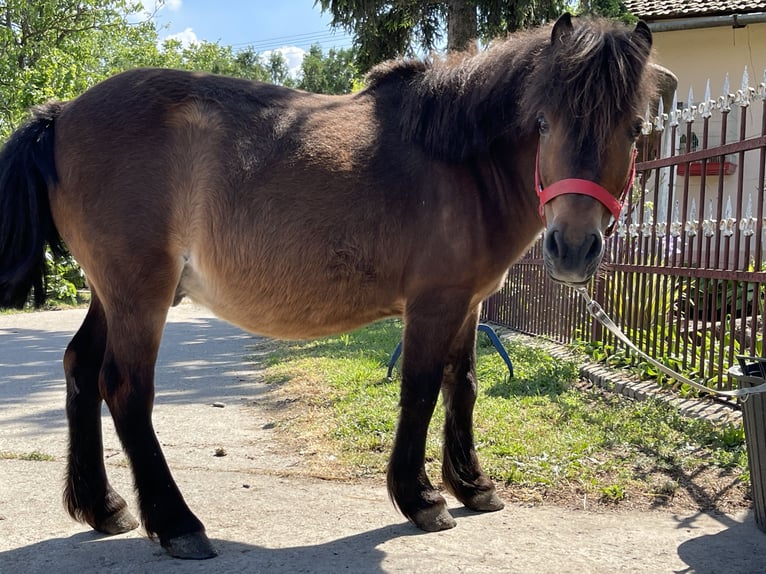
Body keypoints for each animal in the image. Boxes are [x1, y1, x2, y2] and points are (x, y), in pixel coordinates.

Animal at [0, 14, 660, 564]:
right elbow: (421, 390)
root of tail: (61, 113)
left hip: (109, 294)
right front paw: (421, 499)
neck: (460, 162)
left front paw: (473, 485)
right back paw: (179, 524)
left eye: (634, 128)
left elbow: (463, 386)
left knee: (81, 368)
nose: (573, 247)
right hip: (140, 293)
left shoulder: (469, 304)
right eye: (544, 122)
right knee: (125, 388)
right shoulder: (434, 303)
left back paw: (103, 507)